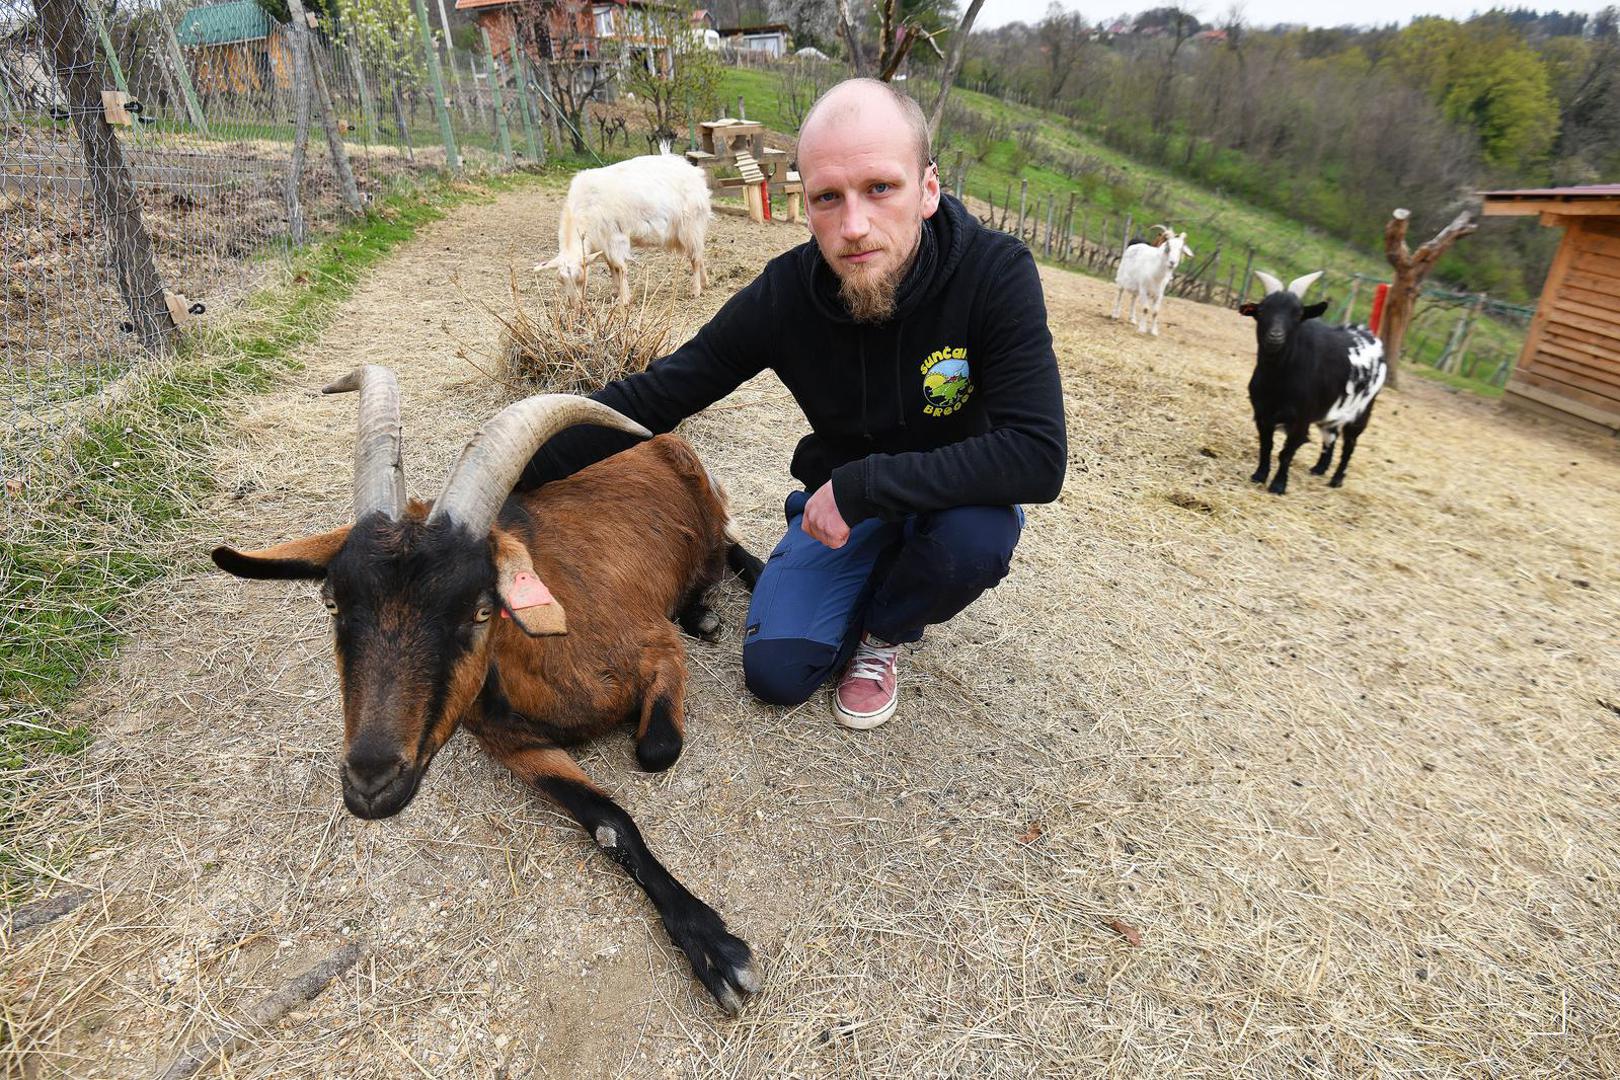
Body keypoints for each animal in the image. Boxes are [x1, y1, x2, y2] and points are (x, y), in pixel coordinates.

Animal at [215, 365, 764, 1016]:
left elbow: (656, 750)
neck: (553, 653)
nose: (371, 782)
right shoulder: (512, 745)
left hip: (709, 520)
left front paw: (721, 954)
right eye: (331, 603)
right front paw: (707, 942)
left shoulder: (658, 649)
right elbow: (609, 821)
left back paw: (710, 606)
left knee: (728, 544)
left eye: (481, 610)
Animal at [537, 151, 709, 304]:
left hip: (690, 225)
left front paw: (624, 299)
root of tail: (695, 172)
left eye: (580, 278)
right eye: (561, 280)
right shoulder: (603, 243)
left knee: (695, 258)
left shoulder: (615, 238)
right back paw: (705, 282)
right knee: (700, 254)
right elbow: (611, 267)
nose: (573, 305)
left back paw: (696, 290)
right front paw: (615, 292)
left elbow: (620, 268)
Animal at [1237, 270, 1380, 495]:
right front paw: (1259, 476)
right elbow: (1266, 446)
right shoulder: (1262, 415)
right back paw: (1319, 468)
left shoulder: (1300, 420)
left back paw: (1336, 479)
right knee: (1331, 435)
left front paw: (1278, 485)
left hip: (1362, 411)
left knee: (1349, 443)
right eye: (1261, 311)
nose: (1275, 336)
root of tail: (1368, 334)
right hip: (1332, 411)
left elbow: (1286, 453)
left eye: (1297, 315)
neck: (1278, 379)